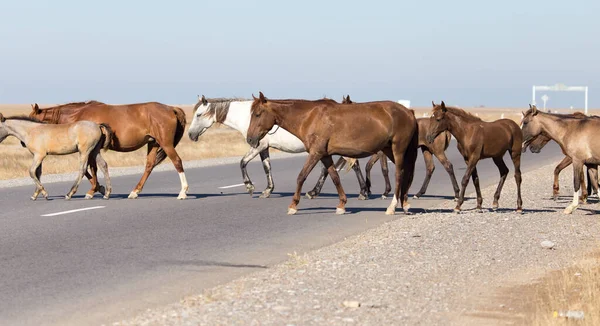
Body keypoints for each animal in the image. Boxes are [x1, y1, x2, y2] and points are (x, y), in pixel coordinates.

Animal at [27, 101, 188, 199]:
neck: (79, 117)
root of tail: (171, 108)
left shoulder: (90, 150)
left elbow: (90, 169)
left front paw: (95, 190)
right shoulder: (90, 151)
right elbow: (90, 169)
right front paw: (99, 188)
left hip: (165, 143)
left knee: (177, 161)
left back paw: (183, 192)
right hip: (153, 143)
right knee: (149, 166)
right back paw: (135, 191)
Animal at [188, 95, 370, 199]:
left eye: (198, 115)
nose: (190, 135)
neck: (249, 117)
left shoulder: (257, 145)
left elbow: (242, 162)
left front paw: (250, 186)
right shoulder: (264, 147)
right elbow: (267, 167)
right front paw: (268, 190)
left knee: (352, 165)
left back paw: (362, 191)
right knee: (329, 169)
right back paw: (315, 192)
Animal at [245, 91, 418, 215]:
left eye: (258, 114)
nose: (250, 139)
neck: (310, 117)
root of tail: (409, 112)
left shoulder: (315, 153)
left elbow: (301, 176)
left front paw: (293, 205)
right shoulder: (325, 155)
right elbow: (335, 177)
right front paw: (341, 204)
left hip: (398, 150)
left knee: (399, 175)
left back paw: (392, 207)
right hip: (389, 150)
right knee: (406, 173)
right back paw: (405, 204)